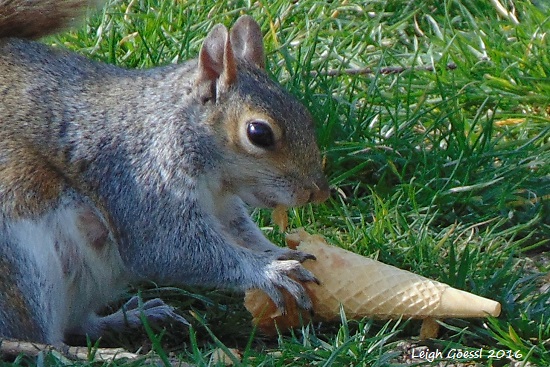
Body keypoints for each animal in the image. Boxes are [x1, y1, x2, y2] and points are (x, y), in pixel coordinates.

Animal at [0, 0, 330, 346]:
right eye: (259, 133)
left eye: (305, 114)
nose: (319, 192)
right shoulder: (138, 182)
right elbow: (168, 248)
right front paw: (268, 270)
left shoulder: (224, 207)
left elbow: (242, 233)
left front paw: (277, 252)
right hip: (20, 267)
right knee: (39, 340)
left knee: (79, 326)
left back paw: (132, 319)